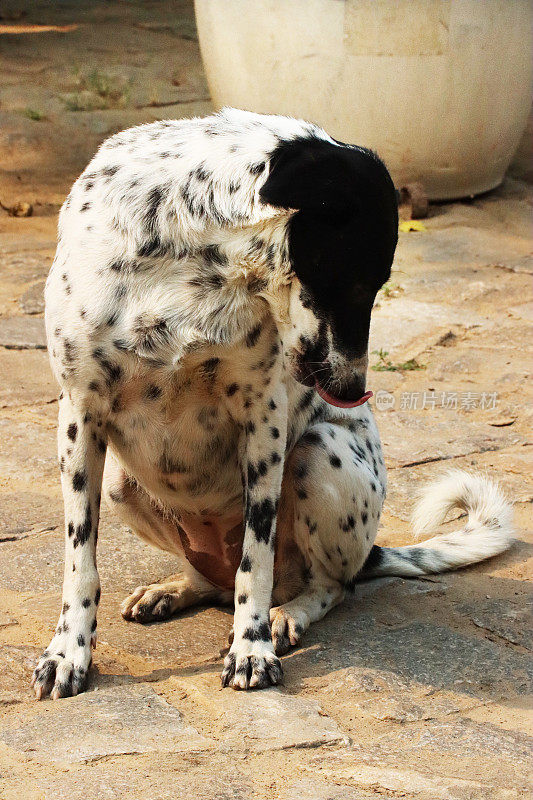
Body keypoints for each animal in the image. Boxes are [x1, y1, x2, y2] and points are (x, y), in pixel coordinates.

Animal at [31, 109, 512, 696]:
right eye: (357, 283)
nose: (353, 392)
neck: (191, 257)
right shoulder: (80, 414)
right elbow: (81, 562)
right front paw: (68, 653)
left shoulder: (264, 418)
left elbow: (254, 559)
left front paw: (251, 647)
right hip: (123, 482)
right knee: (211, 579)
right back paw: (173, 590)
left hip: (316, 455)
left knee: (330, 585)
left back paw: (287, 615)